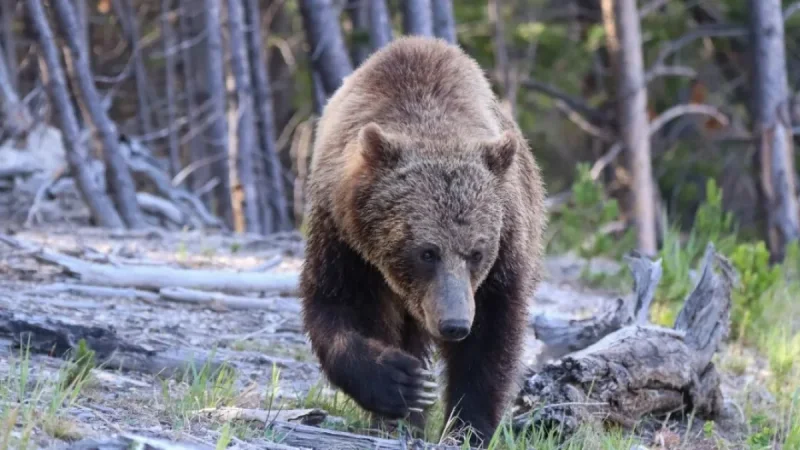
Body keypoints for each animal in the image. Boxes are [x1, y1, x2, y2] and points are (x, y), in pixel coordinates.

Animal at [299, 36, 547, 446]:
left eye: (476, 252)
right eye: (427, 252)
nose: (454, 324)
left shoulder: (507, 245)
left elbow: (491, 338)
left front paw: (468, 426)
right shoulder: (343, 238)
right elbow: (338, 306)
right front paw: (402, 383)